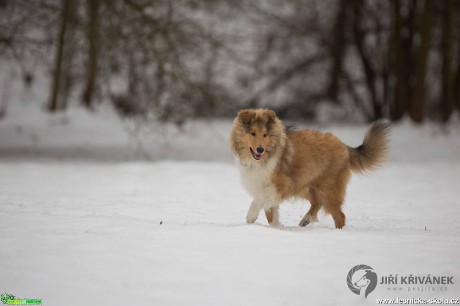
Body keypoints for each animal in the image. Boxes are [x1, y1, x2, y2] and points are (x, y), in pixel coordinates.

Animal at [228, 109, 390, 228]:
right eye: (252, 133)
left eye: (265, 134)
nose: (260, 149)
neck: (261, 159)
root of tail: (344, 146)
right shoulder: (267, 185)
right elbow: (270, 213)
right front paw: (276, 228)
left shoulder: (281, 184)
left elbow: (259, 198)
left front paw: (251, 216)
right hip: (306, 185)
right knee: (317, 203)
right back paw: (306, 219)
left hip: (327, 189)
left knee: (340, 215)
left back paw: (338, 232)